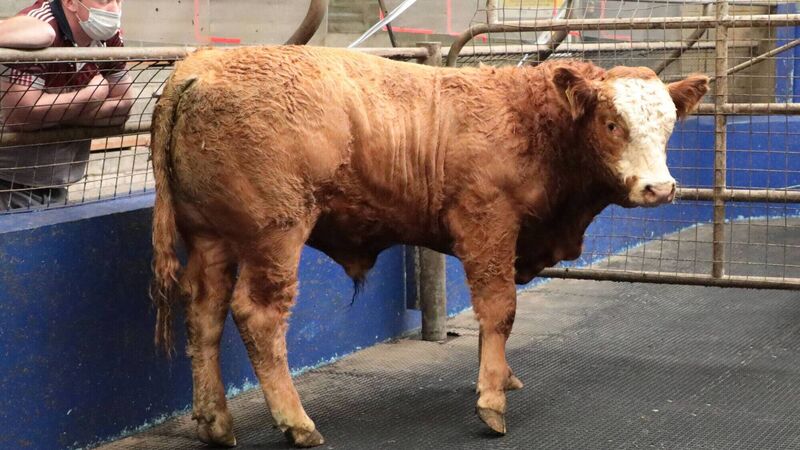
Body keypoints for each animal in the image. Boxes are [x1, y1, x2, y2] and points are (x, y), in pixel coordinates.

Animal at [150, 45, 708, 447]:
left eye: (669, 126)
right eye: (613, 124)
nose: (659, 189)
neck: (530, 122)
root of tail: (197, 68)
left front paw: (501, 376)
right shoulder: (487, 223)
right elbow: (498, 308)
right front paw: (491, 401)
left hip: (212, 240)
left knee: (205, 316)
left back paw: (215, 422)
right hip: (276, 235)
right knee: (259, 317)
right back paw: (297, 423)